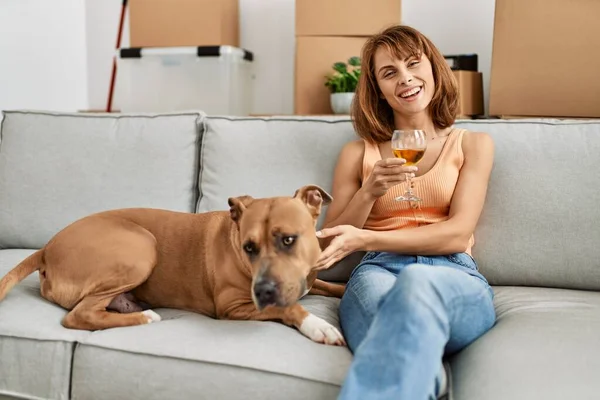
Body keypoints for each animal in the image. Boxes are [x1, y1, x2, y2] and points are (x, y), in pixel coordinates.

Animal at [0, 184, 346, 344]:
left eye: (288, 240)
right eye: (249, 247)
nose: (263, 291)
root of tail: (46, 248)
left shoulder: (309, 279)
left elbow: (329, 286)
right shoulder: (233, 308)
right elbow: (290, 308)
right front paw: (318, 325)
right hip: (141, 247)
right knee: (78, 315)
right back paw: (145, 318)